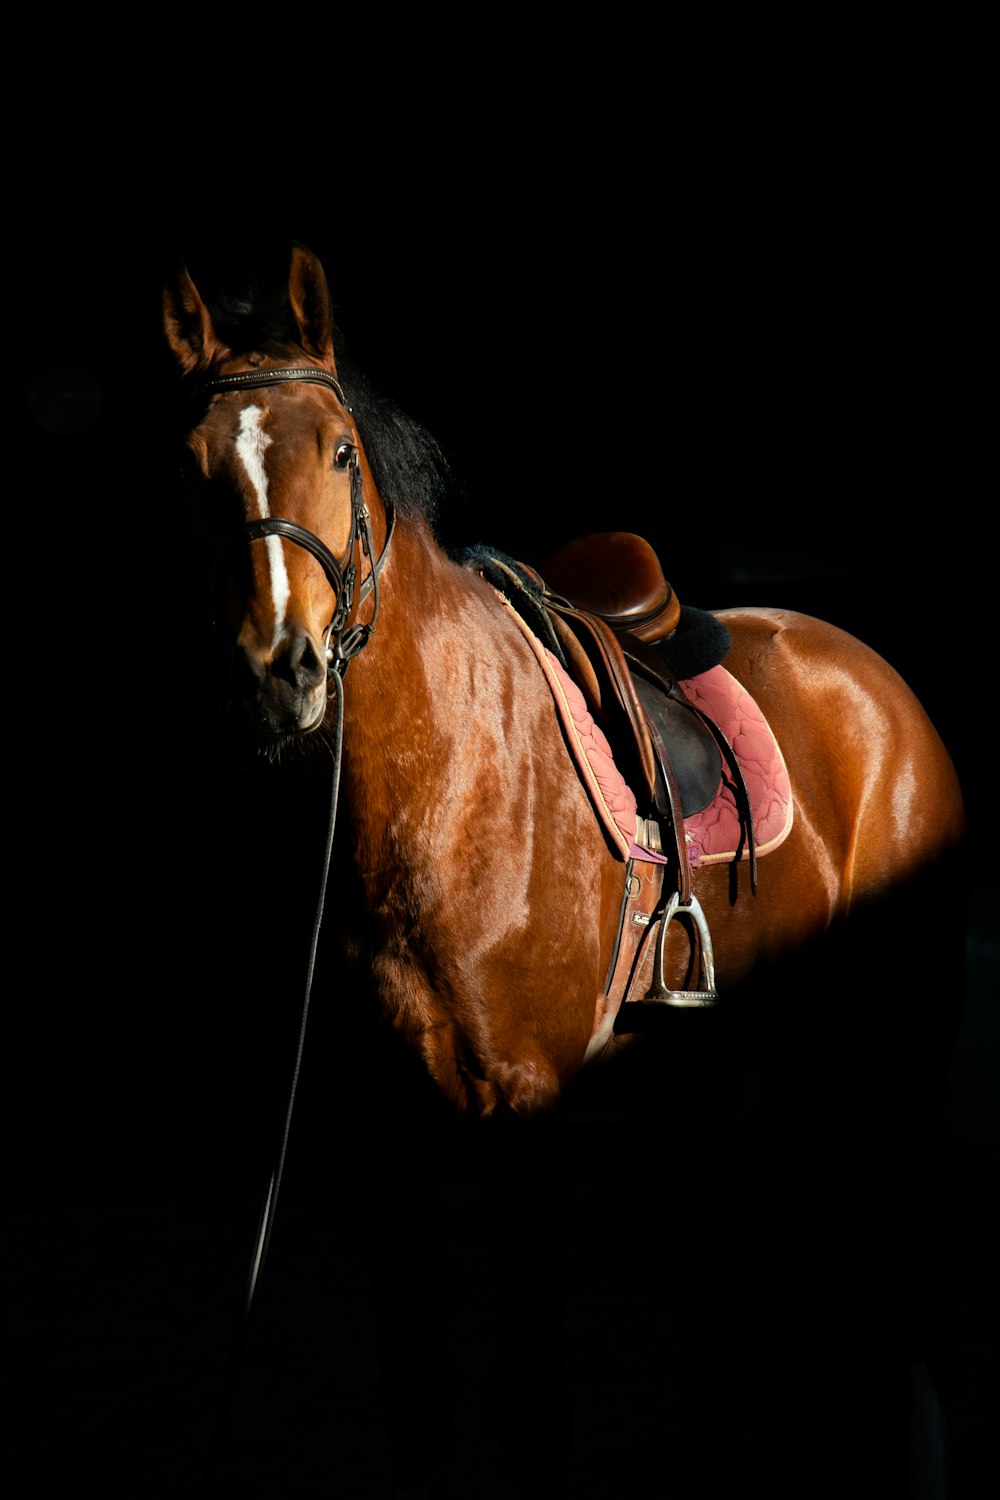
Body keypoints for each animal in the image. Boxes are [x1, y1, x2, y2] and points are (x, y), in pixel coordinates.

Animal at [164, 246, 971, 1500]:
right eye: (197, 467)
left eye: (338, 450)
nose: (282, 668)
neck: (438, 793)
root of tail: (876, 681)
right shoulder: (375, 1137)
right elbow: (420, 1401)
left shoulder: (524, 1112)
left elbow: (532, 1409)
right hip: (690, 1086)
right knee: (730, 1315)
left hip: (885, 1044)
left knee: (906, 1294)